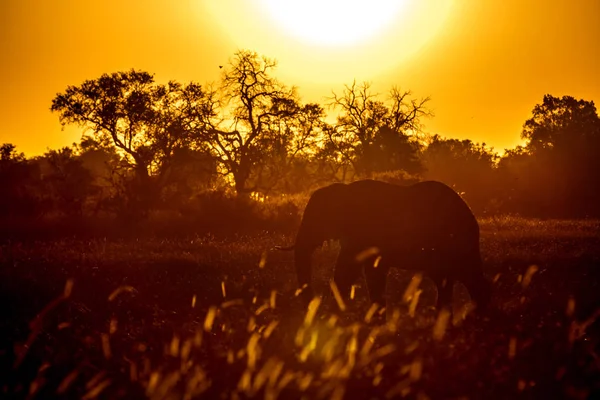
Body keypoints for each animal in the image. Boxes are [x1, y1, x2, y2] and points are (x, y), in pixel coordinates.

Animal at [286, 180, 492, 314]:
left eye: (317, 219)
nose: (312, 306)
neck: (343, 190)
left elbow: (351, 271)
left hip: (457, 243)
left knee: (464, 275)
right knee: (447, 280)